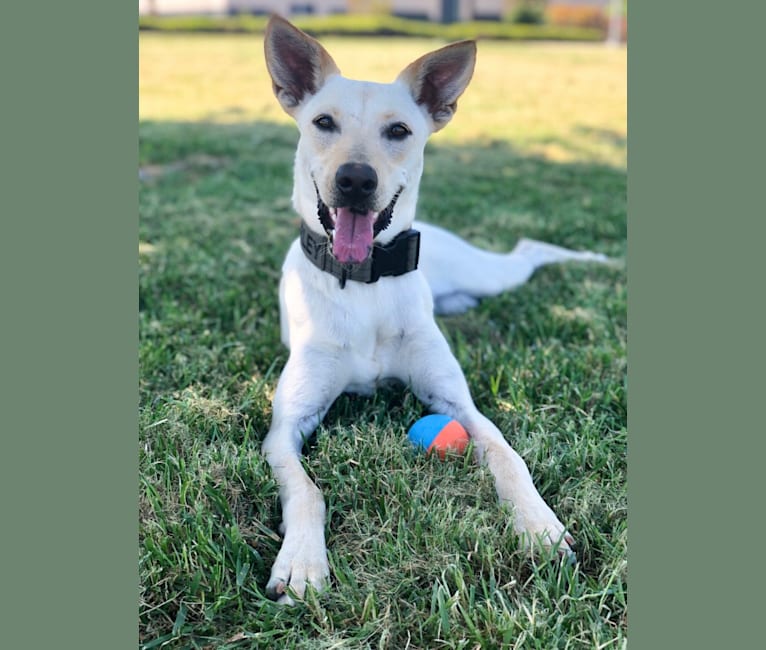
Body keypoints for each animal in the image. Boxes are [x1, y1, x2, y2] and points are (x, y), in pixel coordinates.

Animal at [264, 15, 612, 604]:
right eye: (323, 122)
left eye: (399, 131)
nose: (355, 180)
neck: (366, 284)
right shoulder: (285, 428)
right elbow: (307, 490)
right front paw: (303, 562)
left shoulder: (460, 405)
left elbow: (508, 455)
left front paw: (539, 526)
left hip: (492, 274)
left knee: (528, 250)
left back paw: (598, 260)